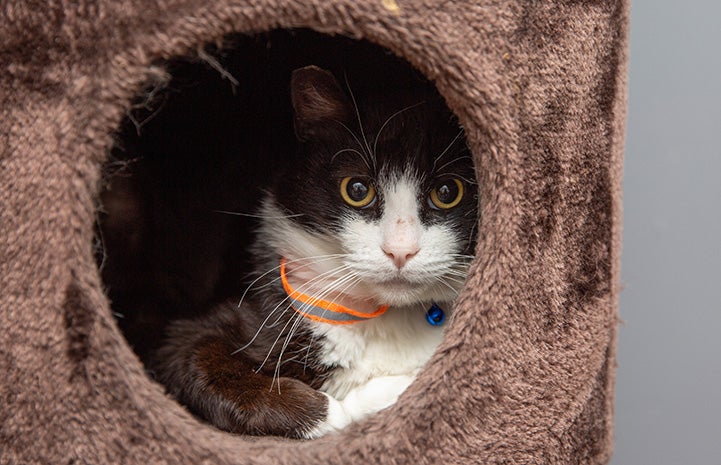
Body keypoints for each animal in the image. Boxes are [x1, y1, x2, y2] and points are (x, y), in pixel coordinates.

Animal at [150, 64, 478, 436]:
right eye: (357, 189)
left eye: (448, 192)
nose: (400, 251)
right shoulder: (193, 333)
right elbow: (195, 356)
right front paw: (333, 411)